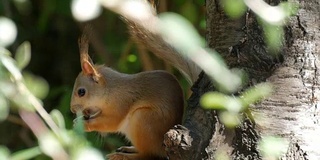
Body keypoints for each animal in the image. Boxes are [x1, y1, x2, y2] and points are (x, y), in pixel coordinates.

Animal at [70, 0, 200, 159]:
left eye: (81, 92)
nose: (72, 109)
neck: (109, 91)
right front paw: (79, 120)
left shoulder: (121, 103)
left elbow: (111, 123)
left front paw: (83, 125)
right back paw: (128, 149)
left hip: (143, 119)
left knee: (149, 154)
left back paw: (122, 156)